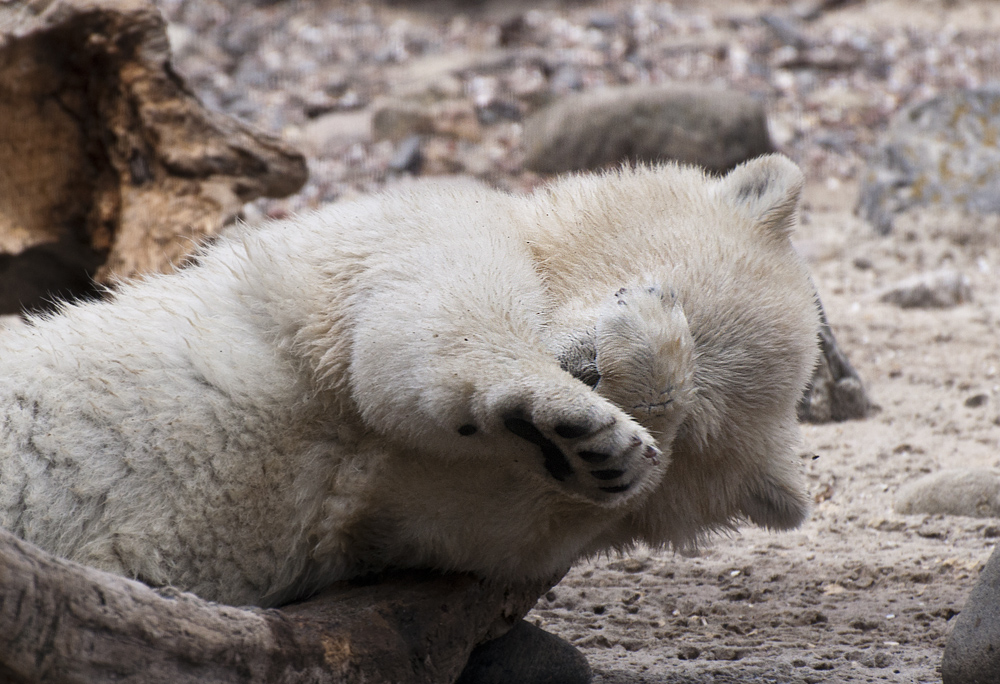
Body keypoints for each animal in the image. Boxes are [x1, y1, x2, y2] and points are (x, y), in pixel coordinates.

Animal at [0, 154, 820, 604]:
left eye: (698, 413)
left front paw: (594, 445)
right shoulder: (373, 242)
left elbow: (486, 516)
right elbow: (422, 318)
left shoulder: (389, 512)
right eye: (661, 283)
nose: (586, 371)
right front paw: (582, 405)